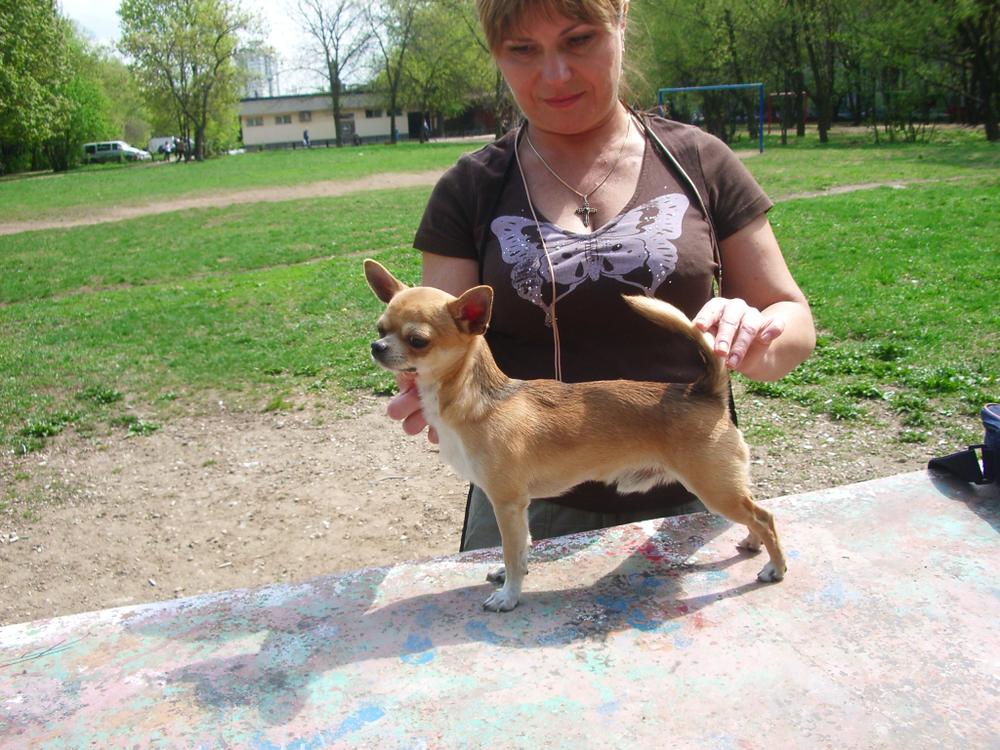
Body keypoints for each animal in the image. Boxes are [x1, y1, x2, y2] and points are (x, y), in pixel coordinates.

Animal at [364, 260, 786, 612]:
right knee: (755, 514)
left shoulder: (507, 502)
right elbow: (521, 546)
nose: (376, 347)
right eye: (380, 329)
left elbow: (512, 551)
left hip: (714, 488)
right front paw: (512, 572)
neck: (478, 399)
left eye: (418, 341)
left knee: (764, 516)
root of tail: (702, 390)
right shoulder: (518, 506)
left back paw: (775, 567)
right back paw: (753, 543)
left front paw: (509, 595)